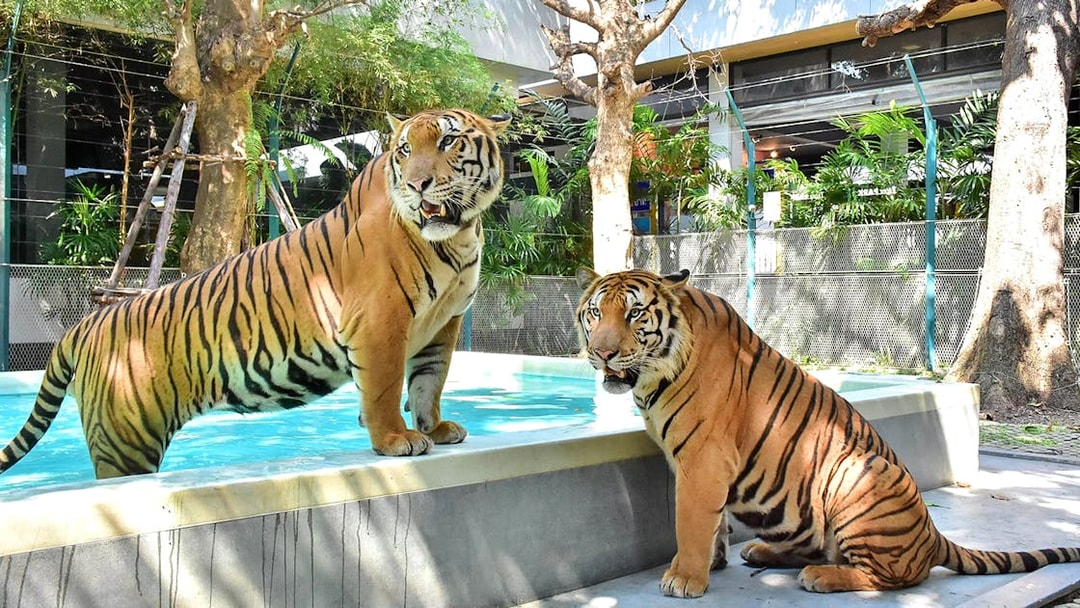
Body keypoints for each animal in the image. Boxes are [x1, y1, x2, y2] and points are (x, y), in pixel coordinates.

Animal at [0, 108, 510, 480]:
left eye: (447, 142)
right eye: (405, 151)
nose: (418, 184)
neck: (459, 237)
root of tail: (85, 325)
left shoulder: (444, 324)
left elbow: (429, 382)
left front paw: (435, 428)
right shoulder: (380, 322)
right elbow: (385, 388)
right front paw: (394, 439)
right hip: (125, 442)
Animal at [575, 267, 1080, 598]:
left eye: (635, 314)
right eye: (595, 313)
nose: (601, 353)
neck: (654, 373)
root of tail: (932, 534)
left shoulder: (702, 459)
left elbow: (691, 522)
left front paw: (684, 578)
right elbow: (713, 523)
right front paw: (713, 563)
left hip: (857, 471)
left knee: (893, 576)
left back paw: (821, 578)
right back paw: (760, 552)